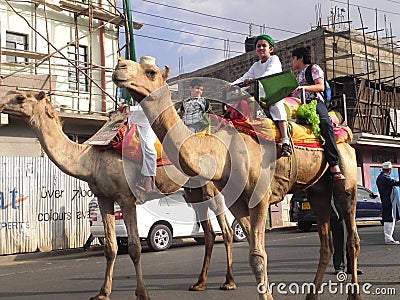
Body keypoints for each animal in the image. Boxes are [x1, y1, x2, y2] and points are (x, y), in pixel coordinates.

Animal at [0, 90, 241, 298]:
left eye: (20, 97)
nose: (1, 101)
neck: (90, 160)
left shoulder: (126, 198)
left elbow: (134, 247)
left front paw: (142, 293)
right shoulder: (104, 197)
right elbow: (110, 247)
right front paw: (103, 292)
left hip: (210, 185)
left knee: (227, 229)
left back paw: (229, 282)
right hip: (194, 190)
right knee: (209, 233)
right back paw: (199, 283)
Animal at [112, 58, 362, 300]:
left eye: (151, 72)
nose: (119, 67)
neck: (221, 150)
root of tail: (344, 129)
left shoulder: (259, 197)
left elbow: (257, 255)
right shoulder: (237, 202)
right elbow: (254, 253)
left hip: (345, 179)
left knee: (352, 236)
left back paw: (354, 294)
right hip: (318, 189)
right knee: (326, 243)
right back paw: (311, 295)